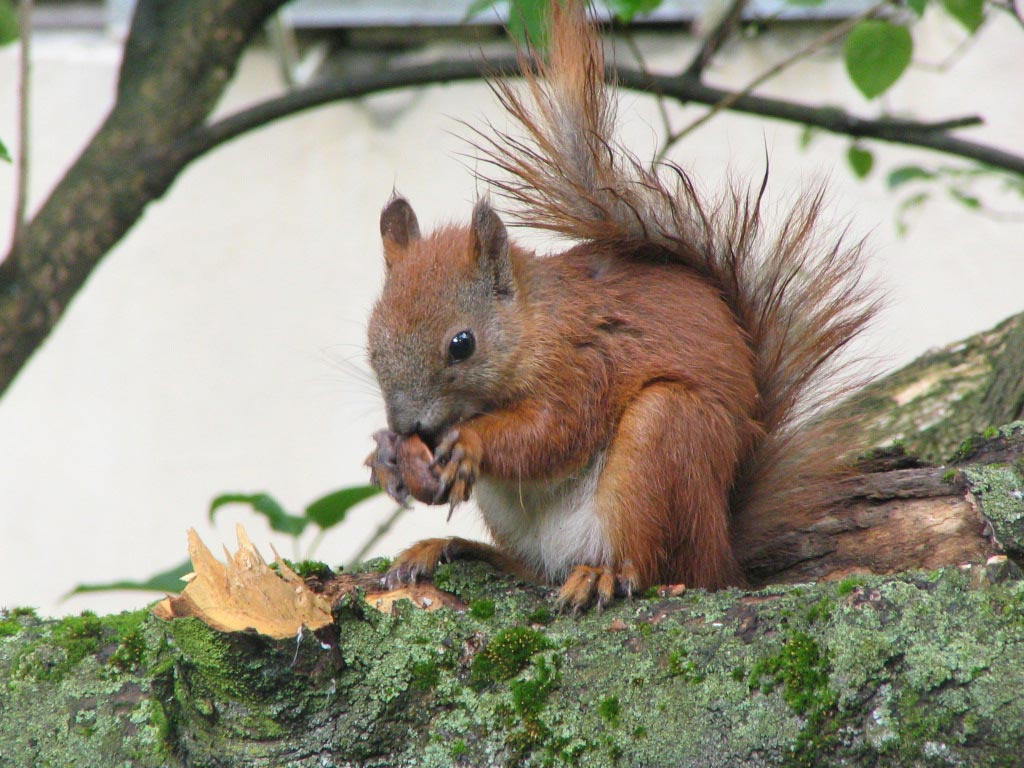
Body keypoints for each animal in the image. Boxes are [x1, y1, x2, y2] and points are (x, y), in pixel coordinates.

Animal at [364, 1, 878, 610]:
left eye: (461, 345)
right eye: (371, 341)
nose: (406, 424)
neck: (535, 325)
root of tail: (723, 551)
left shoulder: (584, 363)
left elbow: (553, 433)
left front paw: (470, 443)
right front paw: (383, 458)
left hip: (665, 441)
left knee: (657, 566)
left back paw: (604, 575)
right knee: (532, 569)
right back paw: (451, 548)